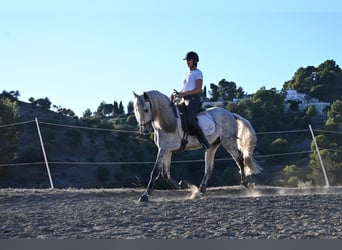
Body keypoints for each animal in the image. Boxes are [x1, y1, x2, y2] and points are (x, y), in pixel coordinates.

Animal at [134, 90, 262, 201]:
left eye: (146, 110)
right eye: (136, 110)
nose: (144, 130)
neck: (167, 122)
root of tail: (231, 114)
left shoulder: (163, 149)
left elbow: (155, 172)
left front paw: (145, 195)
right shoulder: (167, 150)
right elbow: (165, 173)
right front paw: (181, 185)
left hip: (228, 143)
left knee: (239, 159)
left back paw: (245, 183)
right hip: (212, 146)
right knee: (209, 168)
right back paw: (201, 190)